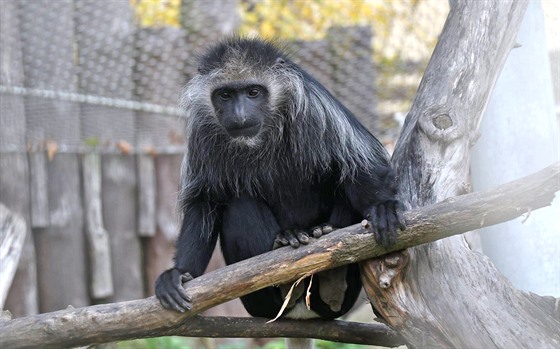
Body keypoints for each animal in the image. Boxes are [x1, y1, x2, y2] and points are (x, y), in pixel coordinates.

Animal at [155, 38, 404, 326]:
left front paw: (383, 208)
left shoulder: (313, 105)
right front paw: (178, 273)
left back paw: (329, 269)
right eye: (225, 95)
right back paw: (288, 255)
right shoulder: (201, 131)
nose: (240, 116)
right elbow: (204, 203)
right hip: (257, 303)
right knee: (239, 206)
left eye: (253, 92)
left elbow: (358, 163)